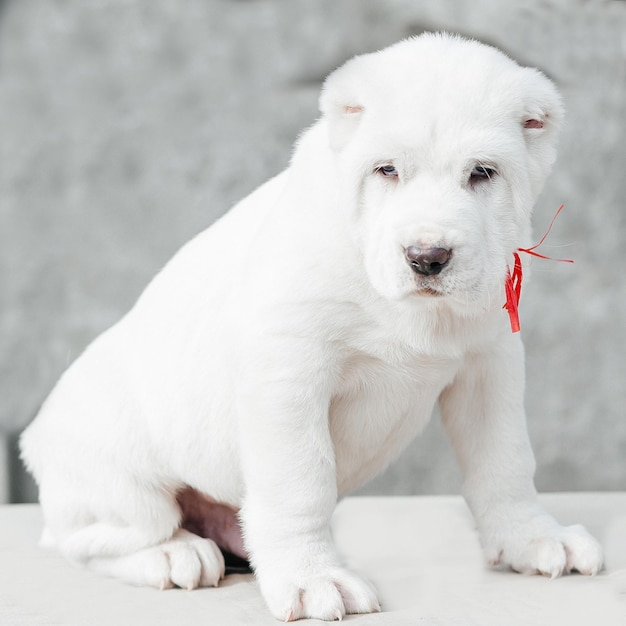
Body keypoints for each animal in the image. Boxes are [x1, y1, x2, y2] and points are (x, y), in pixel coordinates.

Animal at [20, 33, 600, 620]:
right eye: (386, 170)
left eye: (482, 172)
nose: (427, 257)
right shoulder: (289, 373)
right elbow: (300, 483)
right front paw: (312, 576)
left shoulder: (489, 366)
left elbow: (505, 460)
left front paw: (532, 536)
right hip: (118, 484)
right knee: (91, 540)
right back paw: (174, 554)